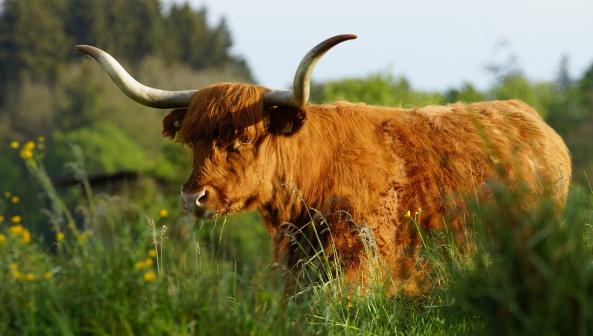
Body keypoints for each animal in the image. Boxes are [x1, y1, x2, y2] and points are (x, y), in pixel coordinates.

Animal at [76, 35, 572, 294]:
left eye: (245, 137)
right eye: (192, 141)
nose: (193, 197)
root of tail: (531, 117)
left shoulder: (363, 262)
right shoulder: (292, 269)